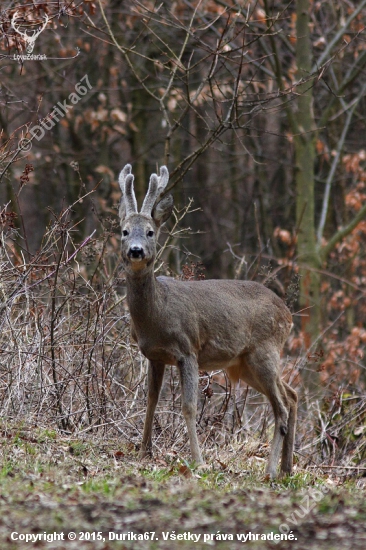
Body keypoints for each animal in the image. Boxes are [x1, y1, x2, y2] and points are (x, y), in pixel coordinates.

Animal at [119, 164, 298, 478]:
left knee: (282, 407)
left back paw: (270, 471)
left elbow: (189, 406)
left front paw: (198, 460)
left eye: (151, 232)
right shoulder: (154, 356)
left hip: (264, 351)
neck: (157, 315)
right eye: (124, 231)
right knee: (292, 395)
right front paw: (143, 451)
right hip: (245, 364)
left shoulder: (187, 349)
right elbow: (151, 400)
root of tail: (287, 314)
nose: (136, 250)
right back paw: (287, 468)